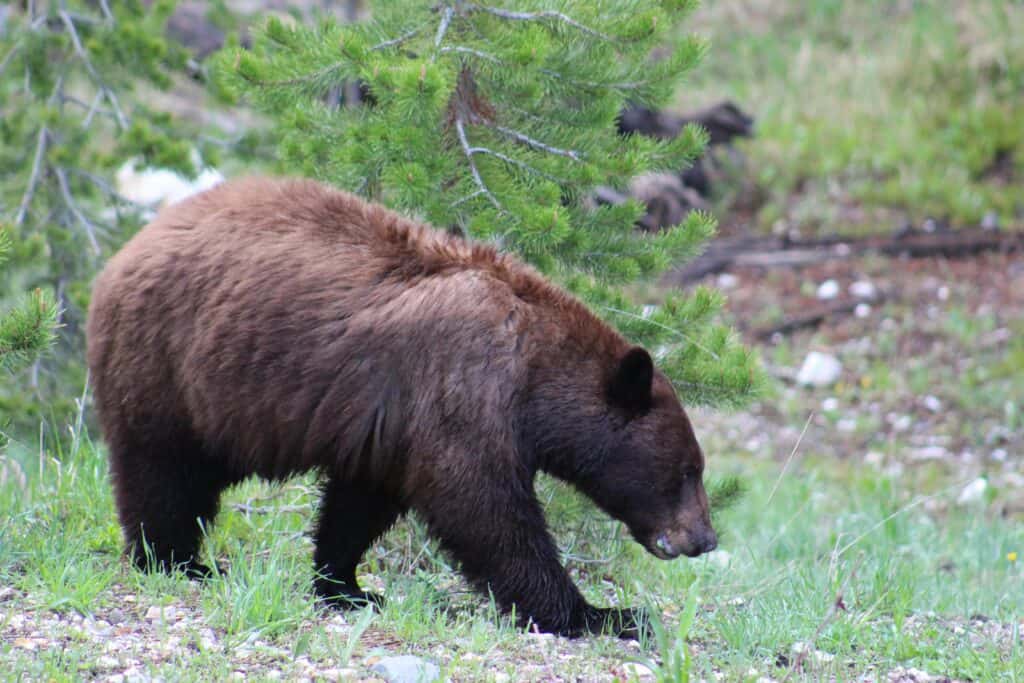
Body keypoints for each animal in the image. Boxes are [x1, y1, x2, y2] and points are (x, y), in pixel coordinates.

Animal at [86, 176, 717, 638]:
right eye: (687, 470)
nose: (705, 539)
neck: (534, 373)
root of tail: (124, 252)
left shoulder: (389, 425)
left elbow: (361, 502)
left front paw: (347, 586)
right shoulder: (464, 386)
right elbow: (483, 507)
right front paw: (604, 615)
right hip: (167, 365)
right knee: (163, 472)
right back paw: (178, 561)